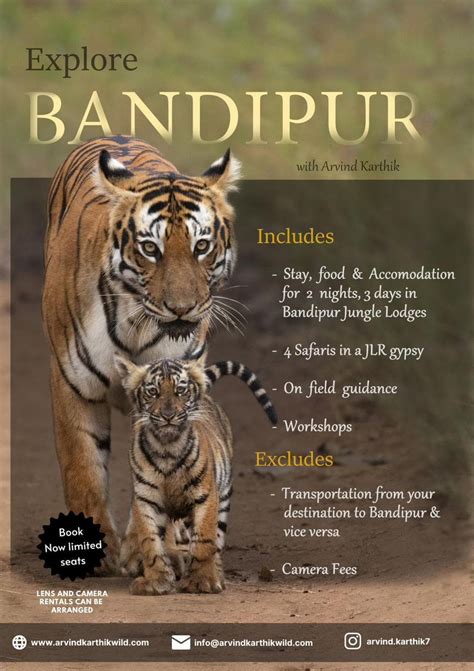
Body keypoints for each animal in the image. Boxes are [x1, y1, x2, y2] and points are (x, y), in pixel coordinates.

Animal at [42, 136, 241, 574]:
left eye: (202, 246)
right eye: (151, 248)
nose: (182, 309)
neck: (135, 321)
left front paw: (146, 550)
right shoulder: (74, 386)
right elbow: (82, 469)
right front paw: (94, 550)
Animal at [114, 354, 277, 595]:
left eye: (180, 390)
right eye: (153, 391)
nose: (168, 415)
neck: (167, 447)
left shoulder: (205, 497)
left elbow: (204, 542)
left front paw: (202, 581)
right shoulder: (146, 499)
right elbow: (150, 542)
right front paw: (156, 581)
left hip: (223, 498)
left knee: (216, 540)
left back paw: (217, 575)